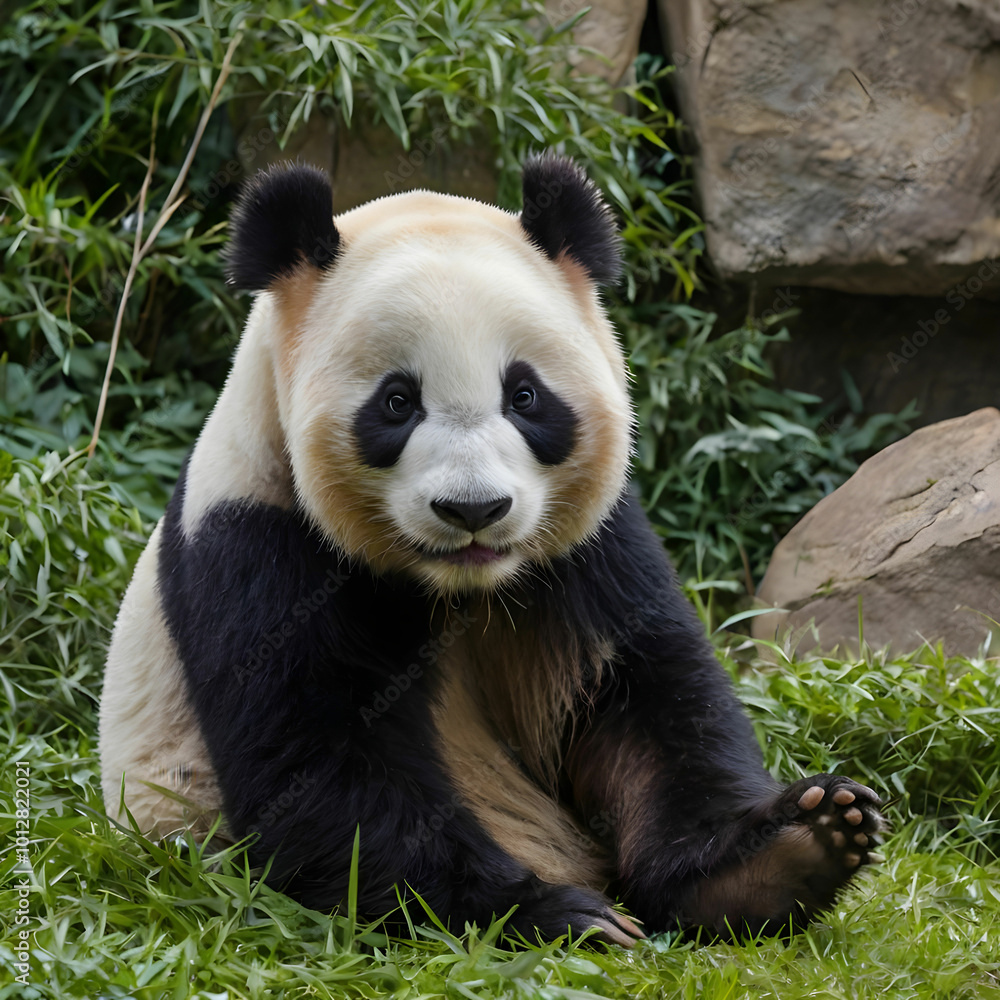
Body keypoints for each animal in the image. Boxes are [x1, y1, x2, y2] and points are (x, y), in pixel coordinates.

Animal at [98, 153, 884, 945]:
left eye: (525, 395)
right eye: (397, 402)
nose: (473, 509)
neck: (458, 583)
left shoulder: (592, 543)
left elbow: (643, 699)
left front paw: (784, 853)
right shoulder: (259, 537)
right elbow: (320, 760)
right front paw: (557, 912)